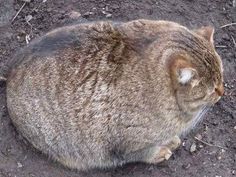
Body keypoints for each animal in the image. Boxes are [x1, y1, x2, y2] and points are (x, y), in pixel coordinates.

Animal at [4, 19, 224, 170]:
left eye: (222, 77)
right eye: (213, 88)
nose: (223, 92)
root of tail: (9, 76)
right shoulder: (130, 142)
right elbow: (144, 152)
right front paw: (161, 150)